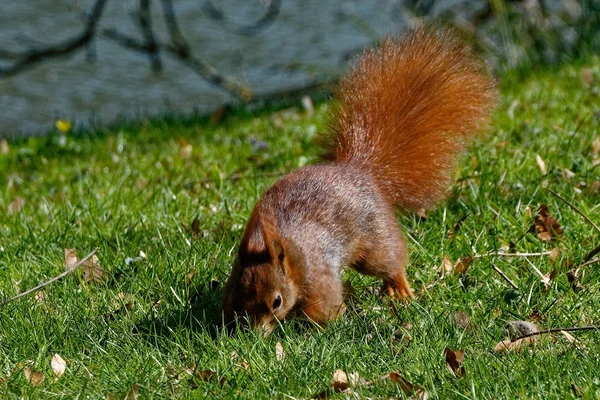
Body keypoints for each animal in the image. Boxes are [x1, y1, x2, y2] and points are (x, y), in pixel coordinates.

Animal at [220, 25, 496, 332]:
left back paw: (399, 287)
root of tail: (358, 169)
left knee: (390, 259)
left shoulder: (318, 277)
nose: (253, 333)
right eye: (233, 295)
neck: (292, 255)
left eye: (277, 301)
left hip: (374, 240)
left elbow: (324, 308)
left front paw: (320, 325)